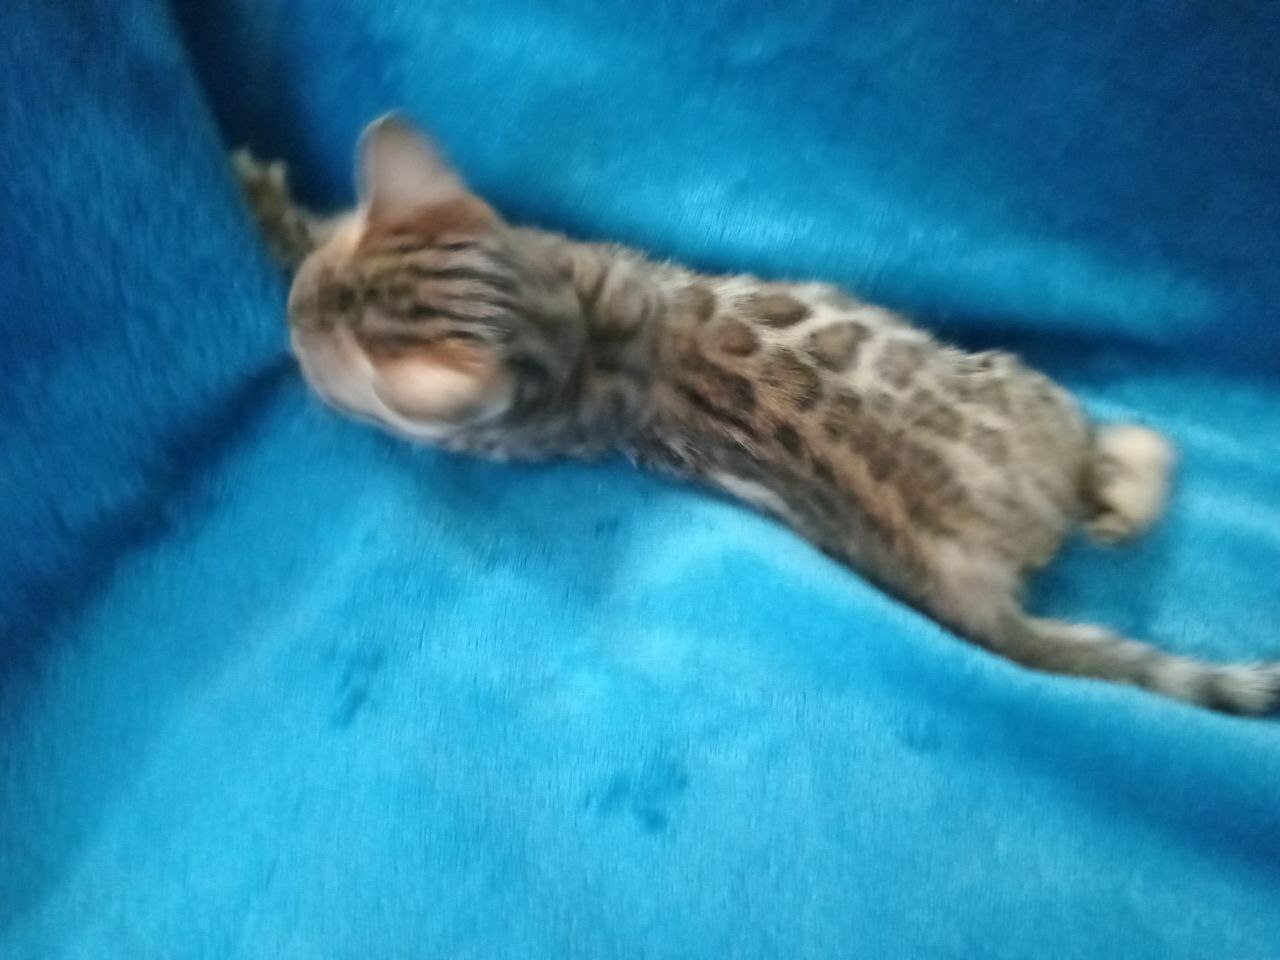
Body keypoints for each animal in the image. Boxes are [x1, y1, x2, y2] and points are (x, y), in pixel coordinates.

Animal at [232, 114, 1279, 716]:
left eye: (306, 349)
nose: (290, 327)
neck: (569, 323)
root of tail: (966, 584)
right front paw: (266, 202)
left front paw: (269, 205)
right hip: (1026, 385)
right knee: (1119, 459)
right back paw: (1124, 483)